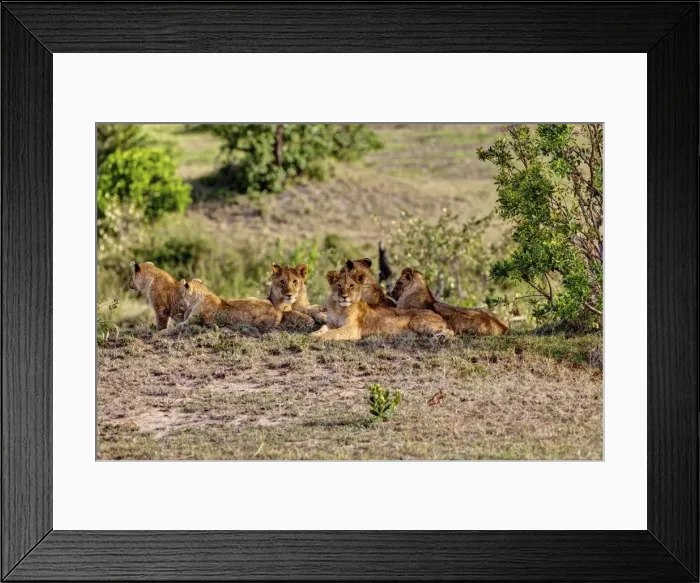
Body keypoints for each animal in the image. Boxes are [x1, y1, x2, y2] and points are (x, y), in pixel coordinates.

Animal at [311, 269, 453, 341]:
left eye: (351, 286)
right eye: (339, 286)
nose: (344, 296)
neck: (339, 307)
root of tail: (438, 314)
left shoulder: (352, 329)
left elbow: (332, 334)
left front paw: (318, 337)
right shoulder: (331, 324)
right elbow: (323, 327)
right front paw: (315, 333)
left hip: (418, 322)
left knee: (450, 331)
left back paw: (439, 337)